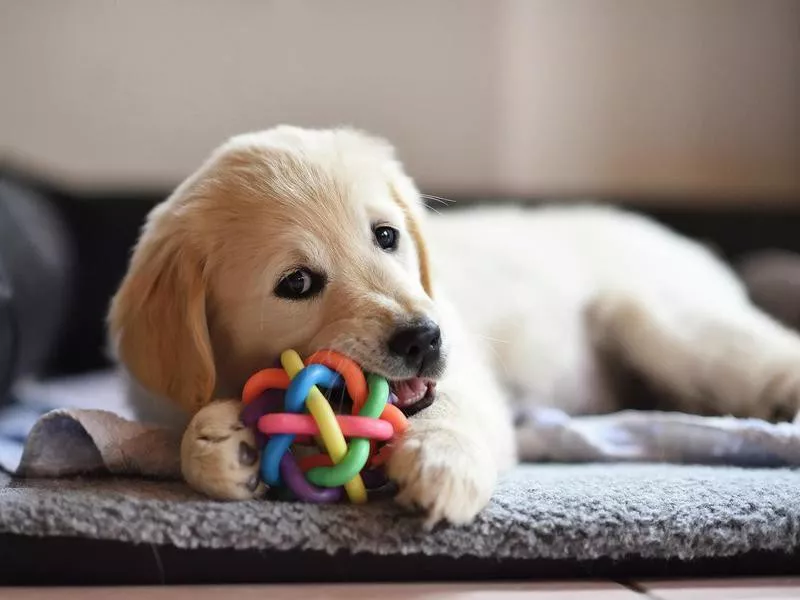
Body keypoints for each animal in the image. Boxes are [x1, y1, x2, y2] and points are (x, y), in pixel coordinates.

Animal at [109, 125, 800, 524]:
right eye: (296, 284)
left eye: (386, 236)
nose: (423, 338)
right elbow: (185, 432)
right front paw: (220, 442)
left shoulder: (467, 375)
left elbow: (449, 411)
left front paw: (442, 463)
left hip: (659, 320)